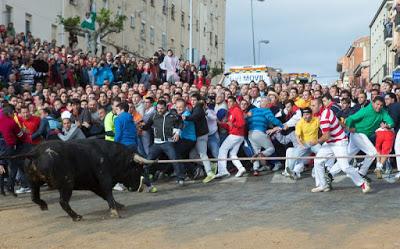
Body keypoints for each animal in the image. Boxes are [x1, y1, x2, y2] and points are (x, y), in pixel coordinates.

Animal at [0, 140, 156, 222]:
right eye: (137, 168)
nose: (139, 187)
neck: (108, 155)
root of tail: (36, 152)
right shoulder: (104, 177)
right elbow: (108, 193)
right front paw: (115, 211)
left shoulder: (94, 185)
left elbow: (104, 195)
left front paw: (119, 205)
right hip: (67, 184)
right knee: (63, 201)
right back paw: (76, 217)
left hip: (34, 182)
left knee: (34, 197)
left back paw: (44, 205)